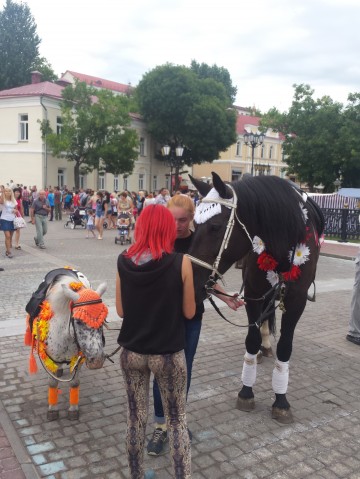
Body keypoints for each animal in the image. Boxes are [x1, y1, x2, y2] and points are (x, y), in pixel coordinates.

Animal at [25, 268, 107, 422]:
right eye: (79, 321)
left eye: (104, 320)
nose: (97, 361)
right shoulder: (49, 357)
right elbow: (52, 383)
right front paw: (52, 409)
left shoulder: (79, 359)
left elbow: (75, 383)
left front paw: (73, 409)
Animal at [188, 172, 324, 424]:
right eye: (195, 224)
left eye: (215, 226)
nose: (190, 281)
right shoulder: (252, 293)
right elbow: (251, 339)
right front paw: (246, 391)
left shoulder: (296, 300)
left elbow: (285, 347)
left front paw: (281, 400)